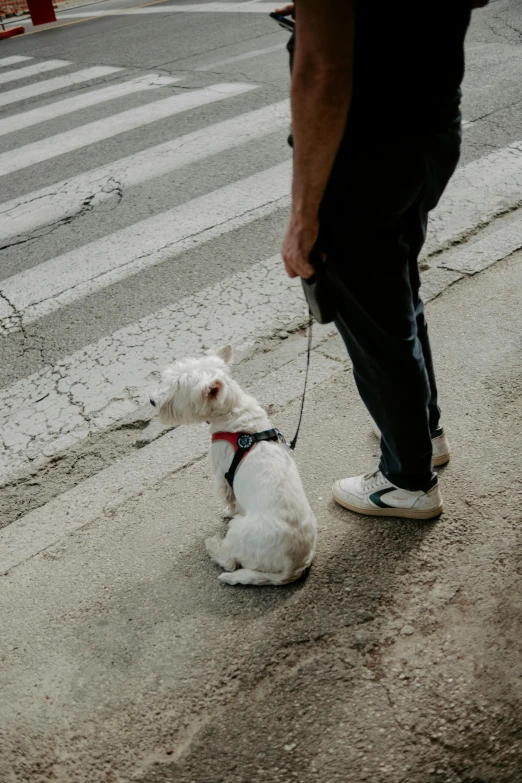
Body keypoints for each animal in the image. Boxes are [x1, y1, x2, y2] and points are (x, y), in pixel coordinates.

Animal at [148, 346, 314, 584]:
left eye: (178, 388)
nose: (152, 401)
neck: (233, 410)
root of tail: (294, 566)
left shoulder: (221, 473)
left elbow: (229, 498)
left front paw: (228, 511)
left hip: (239, 533)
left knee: (230, 561)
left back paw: (213, 546)